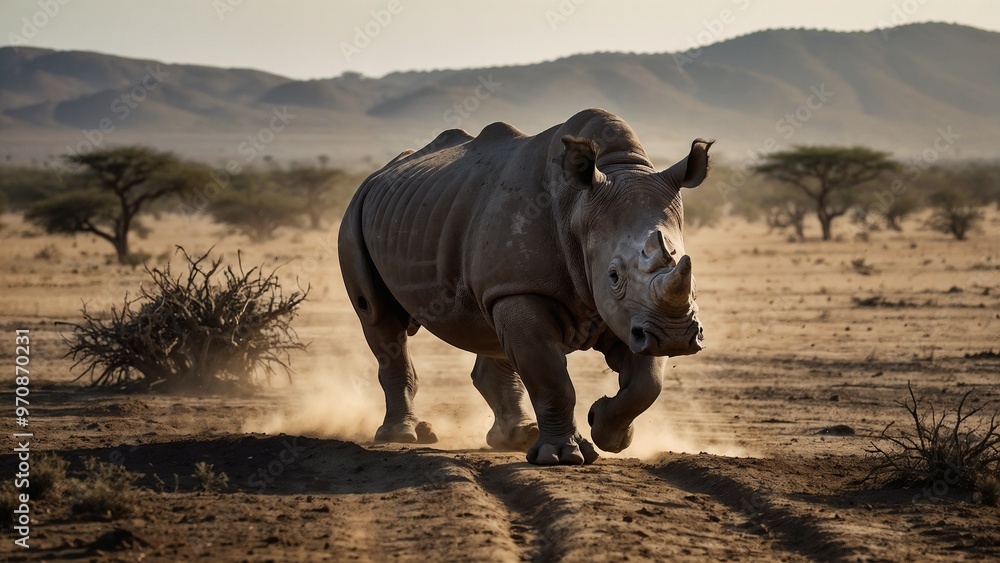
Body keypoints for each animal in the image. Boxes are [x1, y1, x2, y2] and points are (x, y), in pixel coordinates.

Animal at [339, 108, 710, 465]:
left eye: (688, 269)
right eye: (614, 275)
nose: (675, 336)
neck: (578, 207)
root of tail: (378, 174)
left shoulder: (632, 313)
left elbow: (647, 382)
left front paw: (606, 430)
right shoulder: (522, 288)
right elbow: (550, 378)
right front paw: (562, 457)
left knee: (490, 333)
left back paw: (516, 437)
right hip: (354, 213)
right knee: (379, 319)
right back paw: (403, 436)